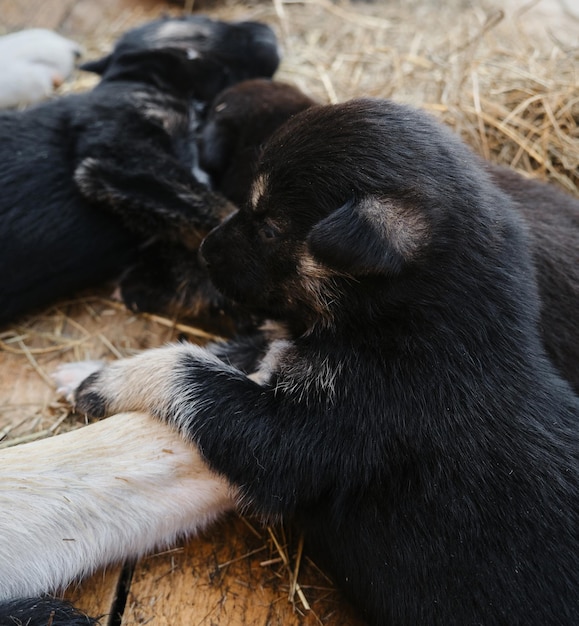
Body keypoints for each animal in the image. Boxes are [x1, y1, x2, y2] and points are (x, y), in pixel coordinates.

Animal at [70, 98, 576, 624]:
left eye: (270, 228)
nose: (206, 250)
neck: (418, 323)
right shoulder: (289, 351)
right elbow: (234, 351)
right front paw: (84, 371)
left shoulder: (313, 429)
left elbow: (193, 373)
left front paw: (107, 383)